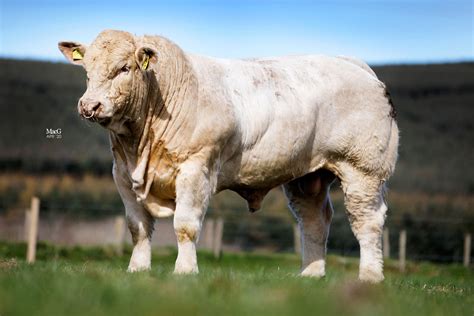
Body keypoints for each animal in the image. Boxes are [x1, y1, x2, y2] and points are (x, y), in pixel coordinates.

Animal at [60, 29, 400, 282]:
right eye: (87, 71)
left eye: (124, 68)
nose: (89, 105)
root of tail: (354, 64)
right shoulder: (121, 174)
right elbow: (137, 227)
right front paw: (137, 270)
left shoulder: (196, 169)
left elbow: (185, 225)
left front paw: (185, 271)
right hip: (307, 176)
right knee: (315, 220)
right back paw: (310, 276)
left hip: (363, 169)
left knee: (367, 221)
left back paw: (370, 276)